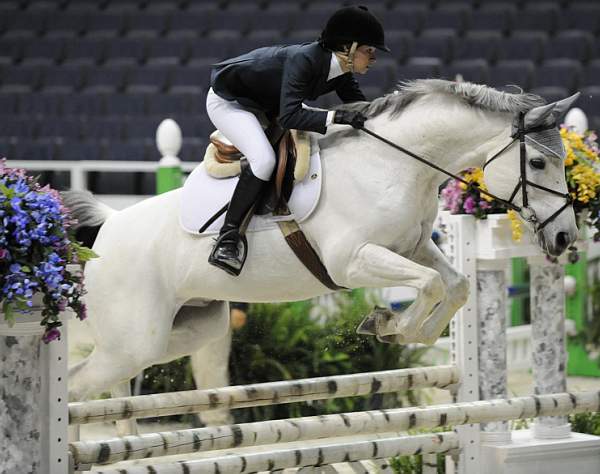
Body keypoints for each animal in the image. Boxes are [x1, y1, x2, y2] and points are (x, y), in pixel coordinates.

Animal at [63, 78, 580, 412]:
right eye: (537, 163)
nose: (564, 237)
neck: (394, 165)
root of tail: (107, 228)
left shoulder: (412, 246)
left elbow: (453, 285)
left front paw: (397, 330)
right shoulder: (352, 262)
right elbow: (432, 283)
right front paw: (390, 325)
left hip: (189, 327)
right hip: (132, 341)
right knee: (77, 384)